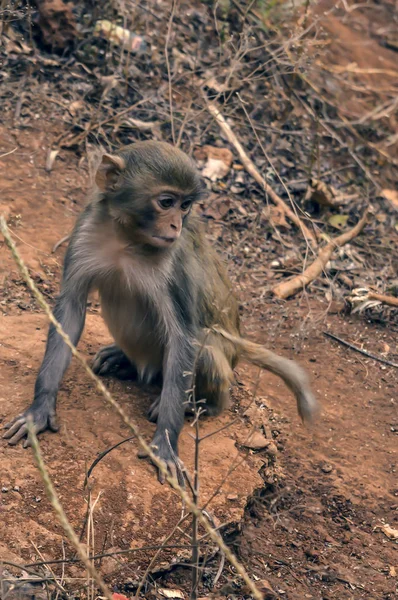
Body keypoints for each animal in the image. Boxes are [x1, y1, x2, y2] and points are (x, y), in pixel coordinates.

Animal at [3, 142, 318, 482]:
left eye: (186, 206)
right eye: (167, 202)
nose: (176, 225)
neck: (127, 238)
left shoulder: (174, 263)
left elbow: (183, 336)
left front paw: (166, 442)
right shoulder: (85, 232)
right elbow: (71, 310)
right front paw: (40, 408)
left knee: (205, 348)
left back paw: (204, 405)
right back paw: (123, 360)